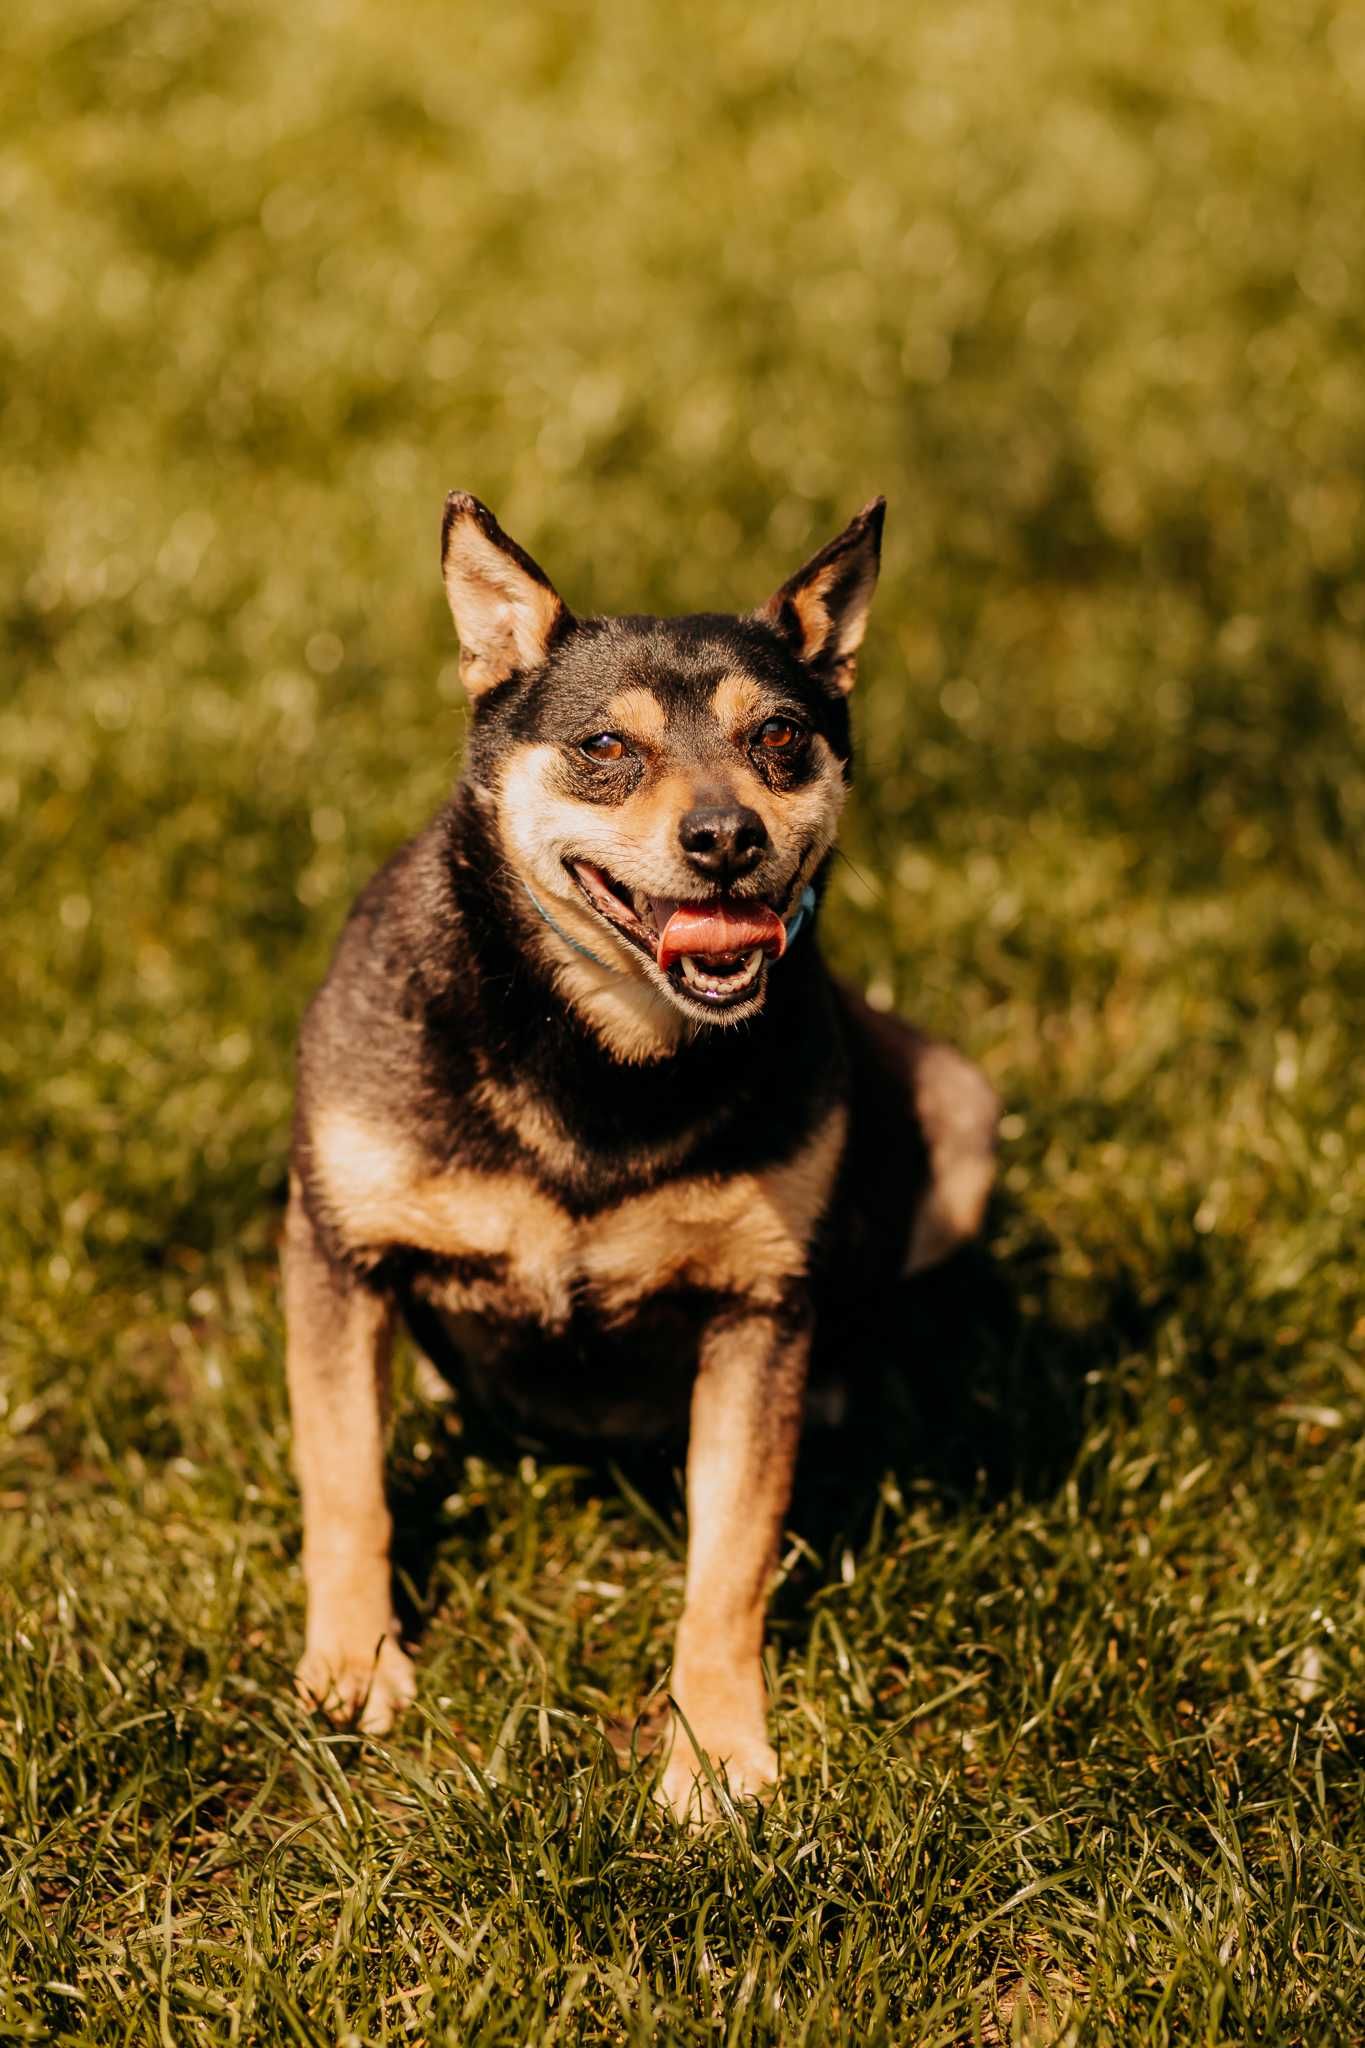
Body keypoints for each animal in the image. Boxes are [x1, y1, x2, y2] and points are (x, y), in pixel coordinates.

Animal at [286, 487, 994, 1818]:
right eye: (606, 746)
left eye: (781, 736)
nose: (726, 837)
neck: (599, 1050)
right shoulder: (336, 1250)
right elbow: (344, 1478)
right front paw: (352, 1668)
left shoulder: (759, 1308)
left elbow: (730, 1563)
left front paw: (715, 1753)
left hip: (965, 1112)